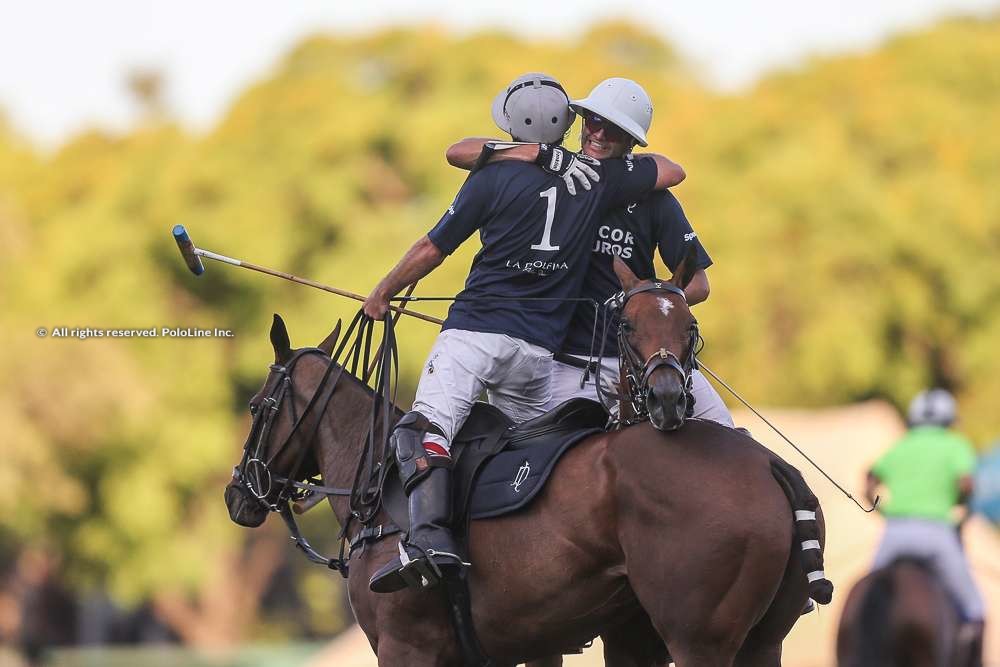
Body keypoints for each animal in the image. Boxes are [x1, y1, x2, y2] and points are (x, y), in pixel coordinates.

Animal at [225, 258, 828, 664]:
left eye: (256, 407)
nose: (237, 495)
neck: (377, 478)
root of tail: (771, 464)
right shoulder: (528, 646)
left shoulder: (404, 646)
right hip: (756, 641)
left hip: (697, 638)